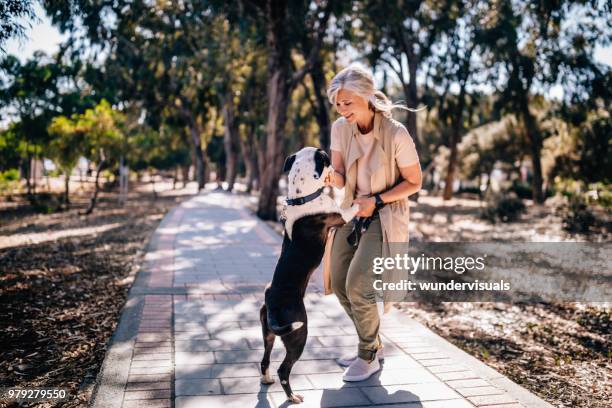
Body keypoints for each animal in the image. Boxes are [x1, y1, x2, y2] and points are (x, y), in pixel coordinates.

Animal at [260, 147, 358, 402]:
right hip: (299, 334)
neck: (301, 196)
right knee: (284, 369)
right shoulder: (341, 216)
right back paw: (292, 396)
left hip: (268, 334)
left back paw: (266, 380)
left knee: (264, 360)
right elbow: (352, 207)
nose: (336, 167)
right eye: (326, 158)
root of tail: (272, 303)